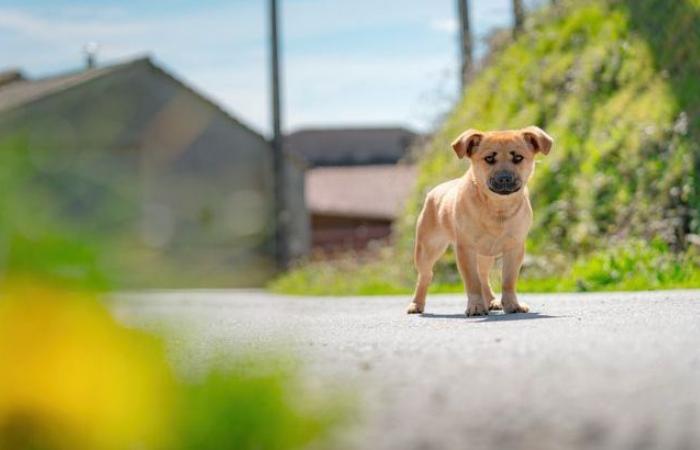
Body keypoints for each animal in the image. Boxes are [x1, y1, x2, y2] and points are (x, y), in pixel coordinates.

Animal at [404, 126, 552, 316]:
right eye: (489, 158)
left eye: (518, 158)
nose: (505, 178)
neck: (497, 207)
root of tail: (434, 191)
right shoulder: (466, 249)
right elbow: (472, 282)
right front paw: (475, 306)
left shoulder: (515, 248)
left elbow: (508, 280)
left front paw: (512, 304)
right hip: (428, 248)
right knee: (425, 275)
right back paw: (416, 304)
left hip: (485, 254)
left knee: (483, 275)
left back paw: (492, 301)